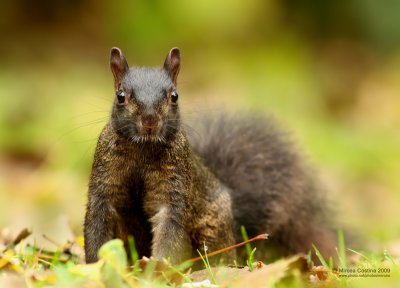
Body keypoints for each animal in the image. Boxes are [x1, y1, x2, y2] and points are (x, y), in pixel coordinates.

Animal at [83, 47, 338, 266]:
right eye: (120, 96)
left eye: (175, 96)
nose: (149, 121)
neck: (142, 150)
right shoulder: (104, 185)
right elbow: (96, 227)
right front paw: (95, 266)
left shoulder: (174, 189)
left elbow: (169, 229)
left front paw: (158, 268)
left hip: (211, 229)